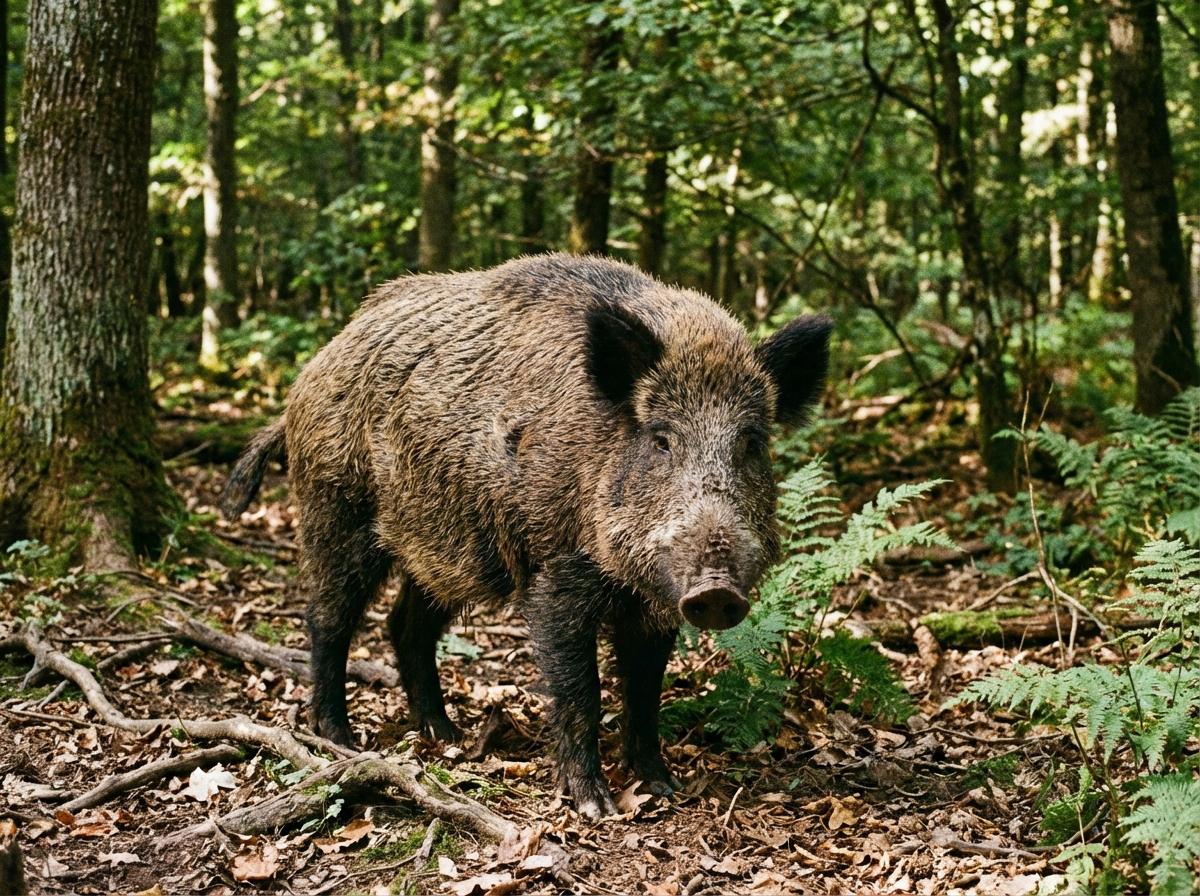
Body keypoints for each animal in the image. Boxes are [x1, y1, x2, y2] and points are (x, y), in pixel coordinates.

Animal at [222, 254, 831, 819]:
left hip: (446, 544)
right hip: (336, 510)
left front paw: (663, 786)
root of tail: (306, 379)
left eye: (751, 442)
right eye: (661, 439)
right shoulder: (554, 574)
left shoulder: (654, 605)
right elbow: (582, 690)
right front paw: (595, 806)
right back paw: (339, 740)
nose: (716, 590)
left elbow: (644, 692)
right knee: (327, 618)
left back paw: (445, 735)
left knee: (406, 625)